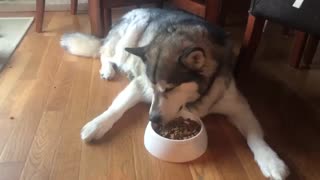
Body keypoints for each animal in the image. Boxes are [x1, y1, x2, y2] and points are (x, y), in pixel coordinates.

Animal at [60, 7, 290, 179]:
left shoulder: (237, 104)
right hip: (130, 35)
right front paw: (97, 124)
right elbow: (116, 108)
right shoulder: (140, 84)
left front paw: (271, 160)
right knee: (104, 53)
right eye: (153, 86)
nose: (152, 118)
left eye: (170, 88)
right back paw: (108, 69)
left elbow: (255, 135)